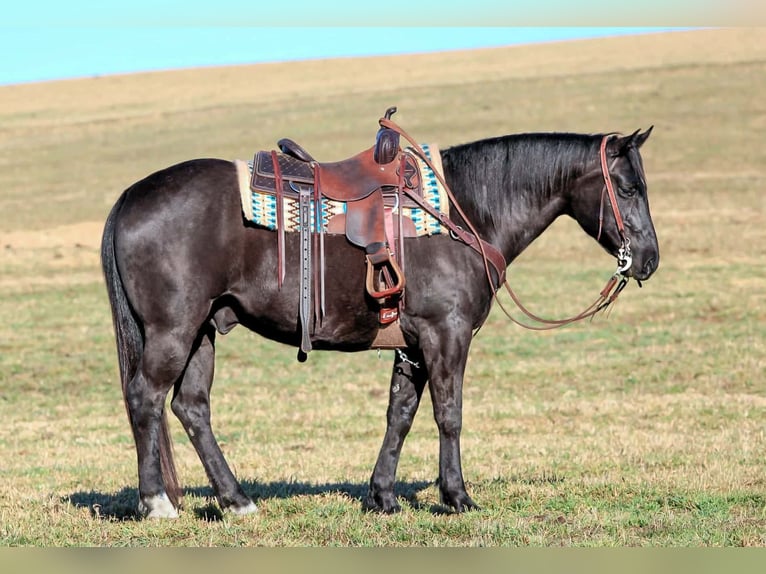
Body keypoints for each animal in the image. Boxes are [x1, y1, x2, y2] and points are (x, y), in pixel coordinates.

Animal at [101, 120, 659, 518]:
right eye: (629, 188)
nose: (649, 259)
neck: (465, 213)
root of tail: (131, 196)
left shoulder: (412, 344)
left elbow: (400, 414)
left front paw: (384, 496)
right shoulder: (445, 334)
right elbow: (448, 414)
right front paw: (457, 497)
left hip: (202, 331)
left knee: (191, 408)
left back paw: (238, 501)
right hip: (173, 331)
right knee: (146, 398)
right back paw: (157, 503)